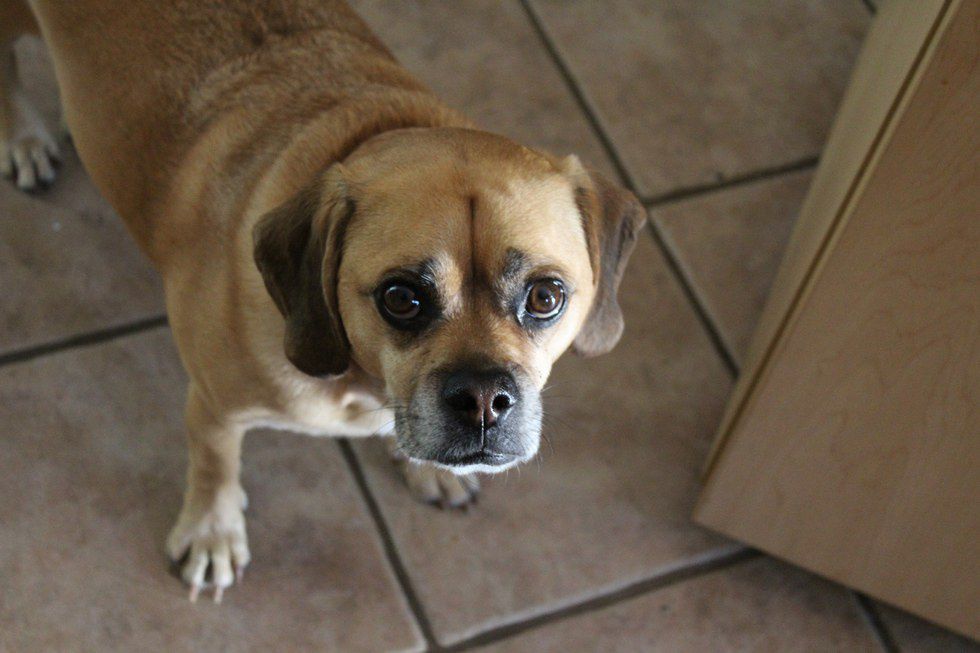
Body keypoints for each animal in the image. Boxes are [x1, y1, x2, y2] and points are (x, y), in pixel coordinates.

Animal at [2, 0, 645, 602]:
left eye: (545, 296)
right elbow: (215, 465)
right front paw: (212, 532)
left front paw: (427, 470)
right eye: (401, 298)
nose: (485, 401)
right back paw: (22, 137)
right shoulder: (215, 406)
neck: (363, 382)